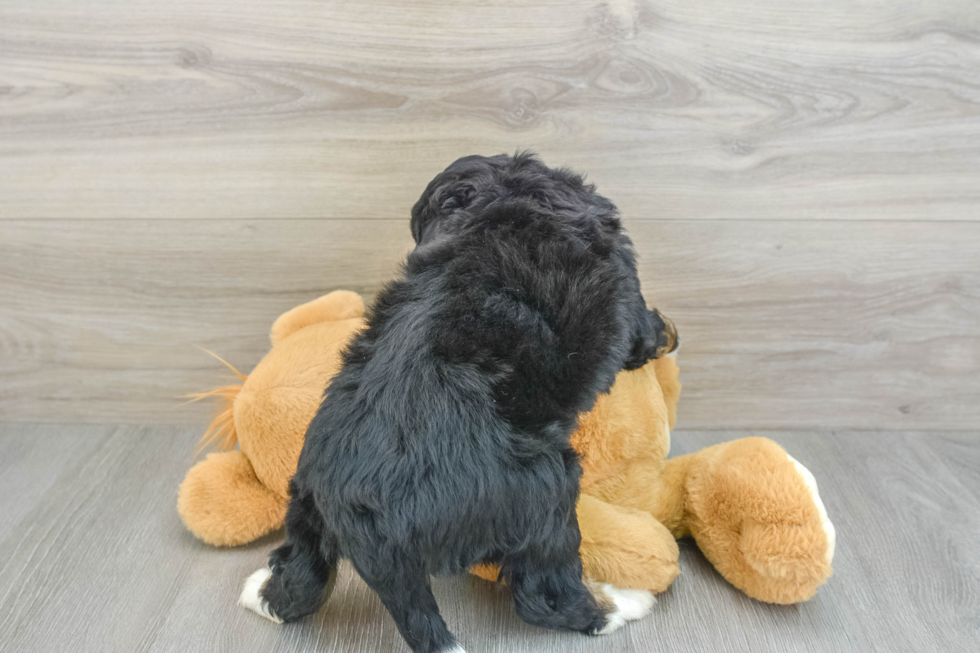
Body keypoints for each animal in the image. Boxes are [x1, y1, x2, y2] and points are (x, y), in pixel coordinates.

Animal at [241, 154, 676, 652]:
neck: (506, 200)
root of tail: (367, 528)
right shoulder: (624, 276)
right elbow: (642, 324)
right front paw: (663, 334)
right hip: (544, 492)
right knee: (544, 593)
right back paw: (620, 604)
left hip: (304, 510)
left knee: (300, 580)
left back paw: (259, 592)